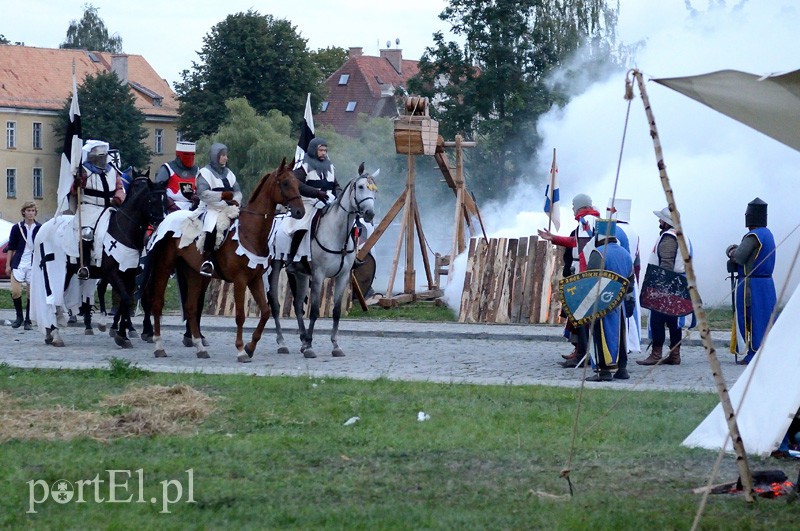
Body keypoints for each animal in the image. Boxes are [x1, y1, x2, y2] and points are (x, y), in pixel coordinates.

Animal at [141, 159, 304, 362]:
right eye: (285, 183)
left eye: (297, 183)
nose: (300, 211)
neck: (250, 232)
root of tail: (163, 221)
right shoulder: (240, 281)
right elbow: (240, 315)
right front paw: (241, 350)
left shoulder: (255, 279)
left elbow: (265, 312)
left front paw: (250, 347)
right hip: (164, 266)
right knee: (157, 302)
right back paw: (159, 345)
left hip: (194, 273)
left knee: (191, 307)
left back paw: (200, 347)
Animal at [268, 164, 376, 360]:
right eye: (361, 187)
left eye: (374, 189)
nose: (370, 214)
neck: (336, 232)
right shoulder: (318, 276)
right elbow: (315, 310)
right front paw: (311, 347)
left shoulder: (342, 277)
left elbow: (336, 311)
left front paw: (335, 345)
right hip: (274, 268)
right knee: (275, 304)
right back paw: (283, 343)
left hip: (300, 274)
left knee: (297, 305)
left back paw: (303, 340)